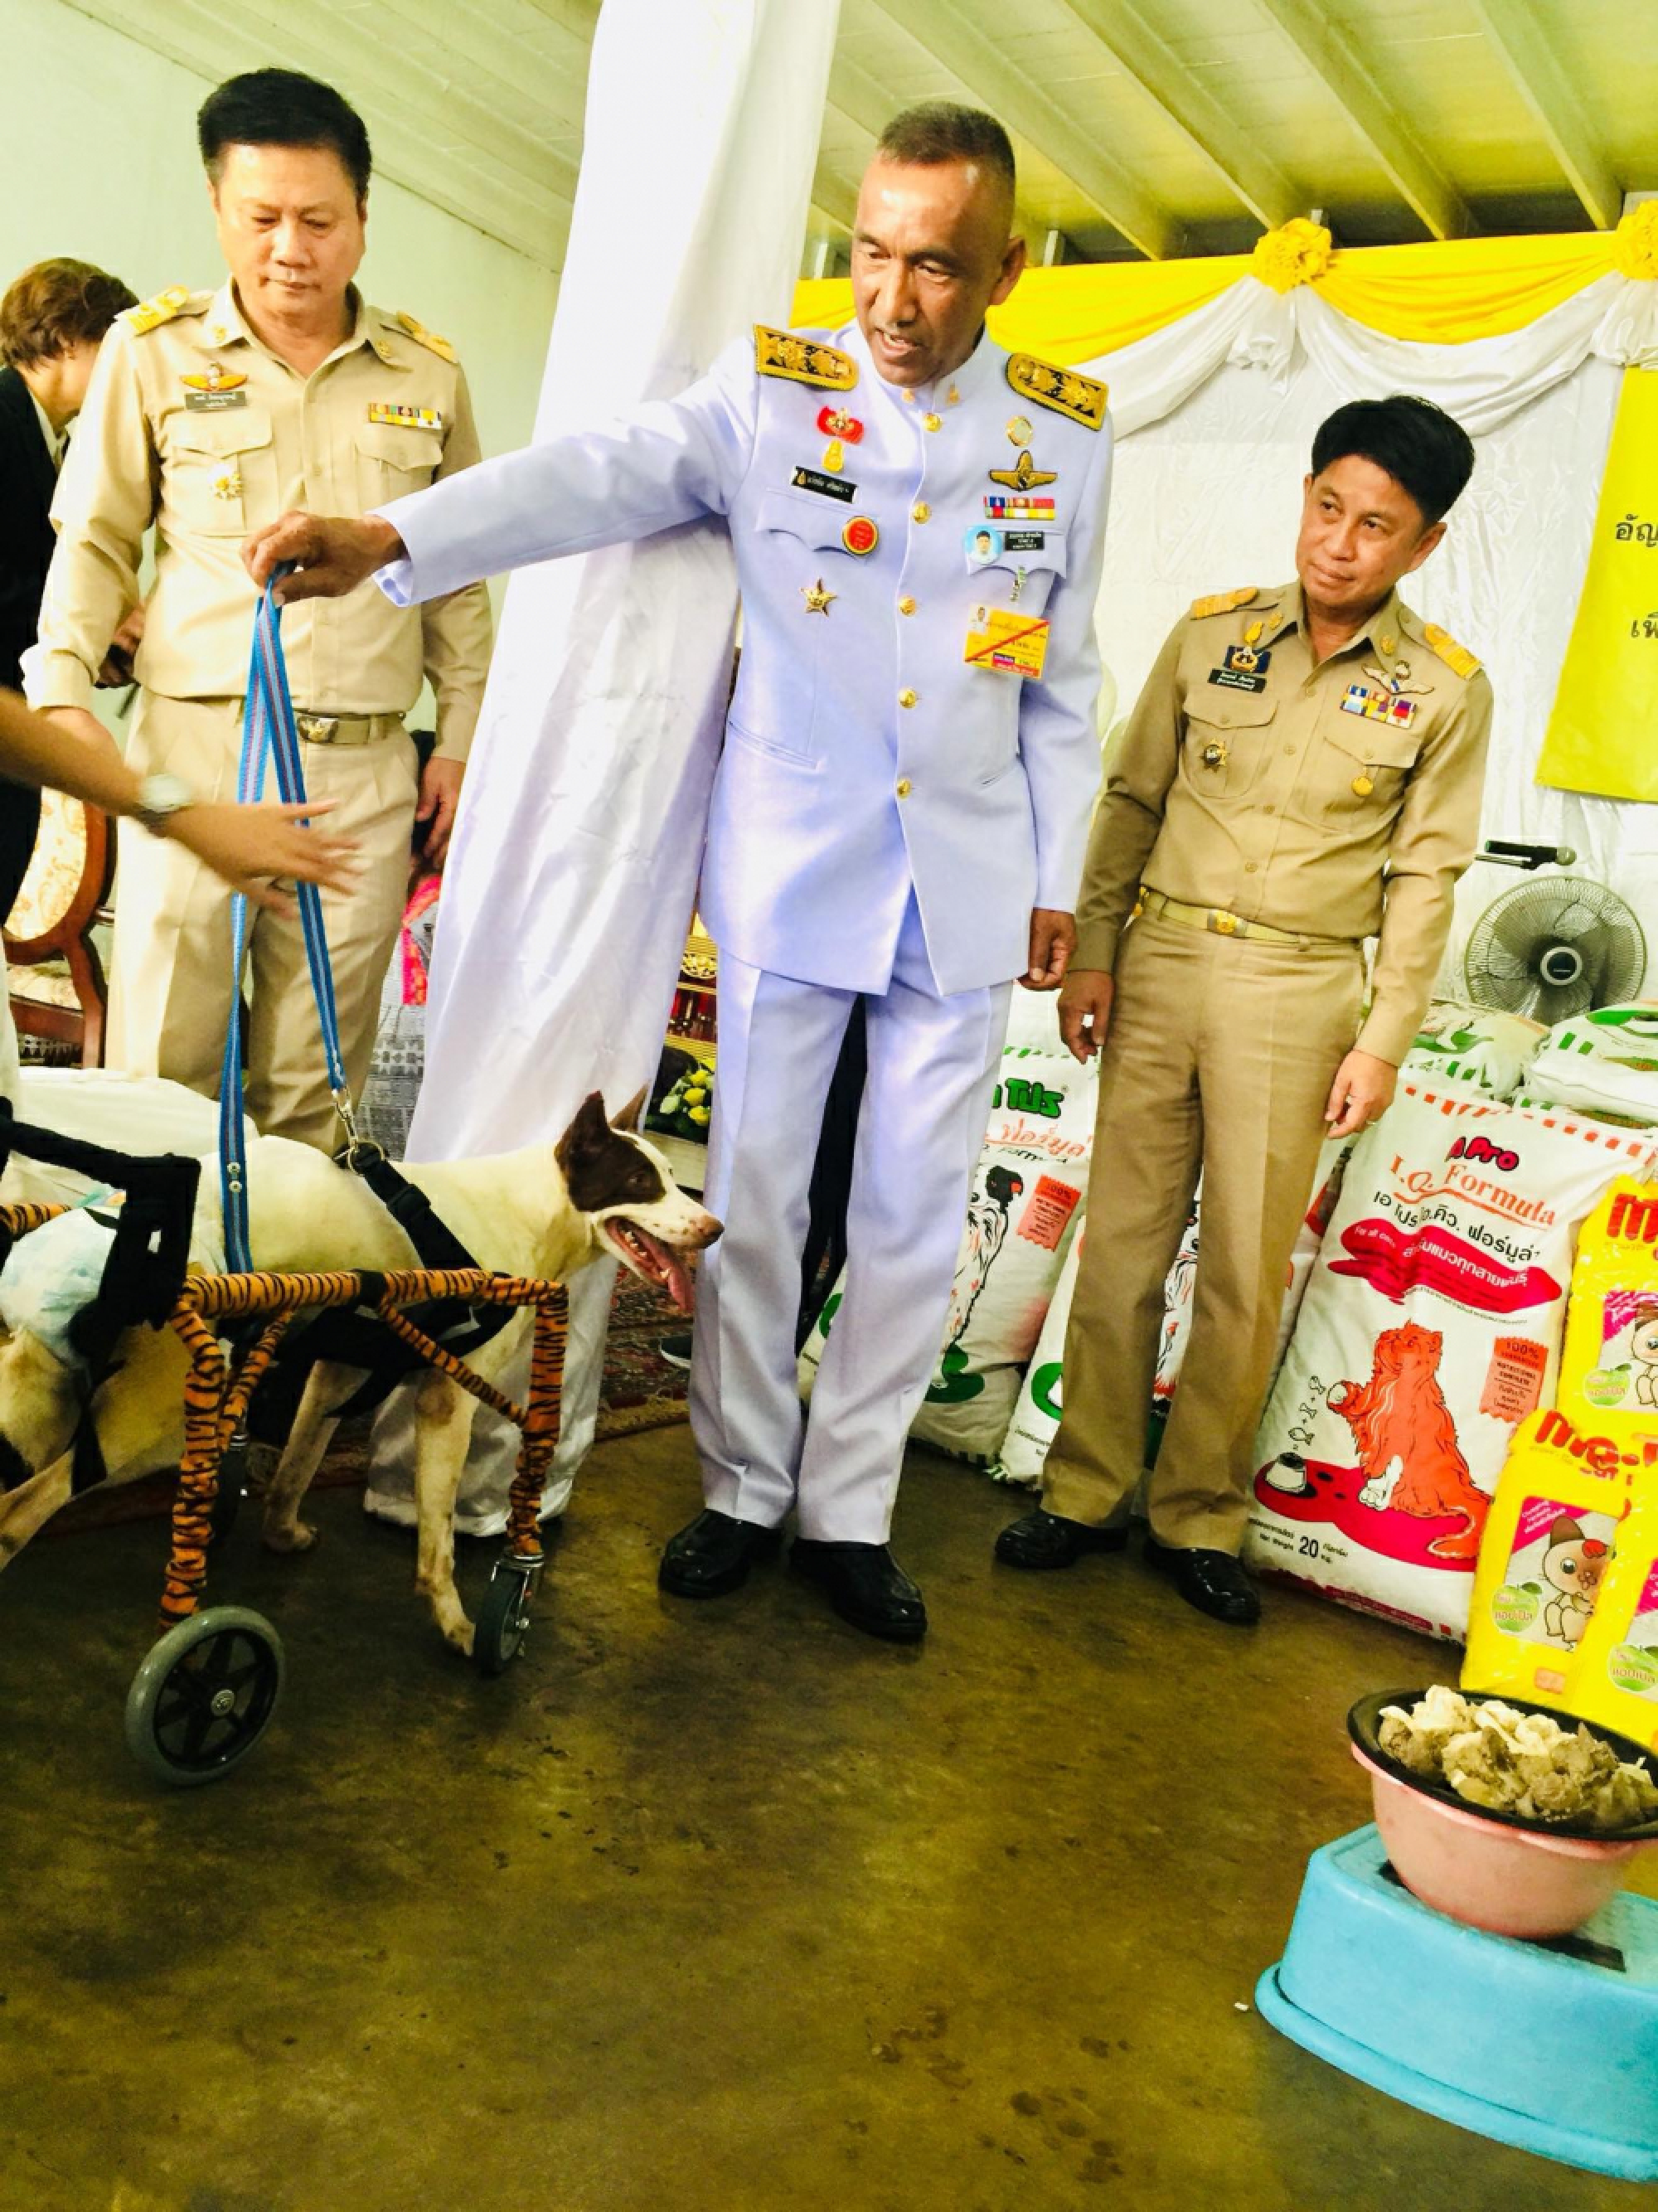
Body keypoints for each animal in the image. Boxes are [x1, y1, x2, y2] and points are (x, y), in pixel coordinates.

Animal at [0, 1097, 720, 1654]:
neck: (532, 1210)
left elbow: (298, 1464)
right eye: (640, 1181)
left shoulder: (339, 1368)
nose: (715, 1228)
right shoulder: (447, 1401)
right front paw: (462, 1623)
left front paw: (281, 1533)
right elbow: (437, 1537)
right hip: (153, 1420)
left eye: (669, 1176)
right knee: (18, 1513)